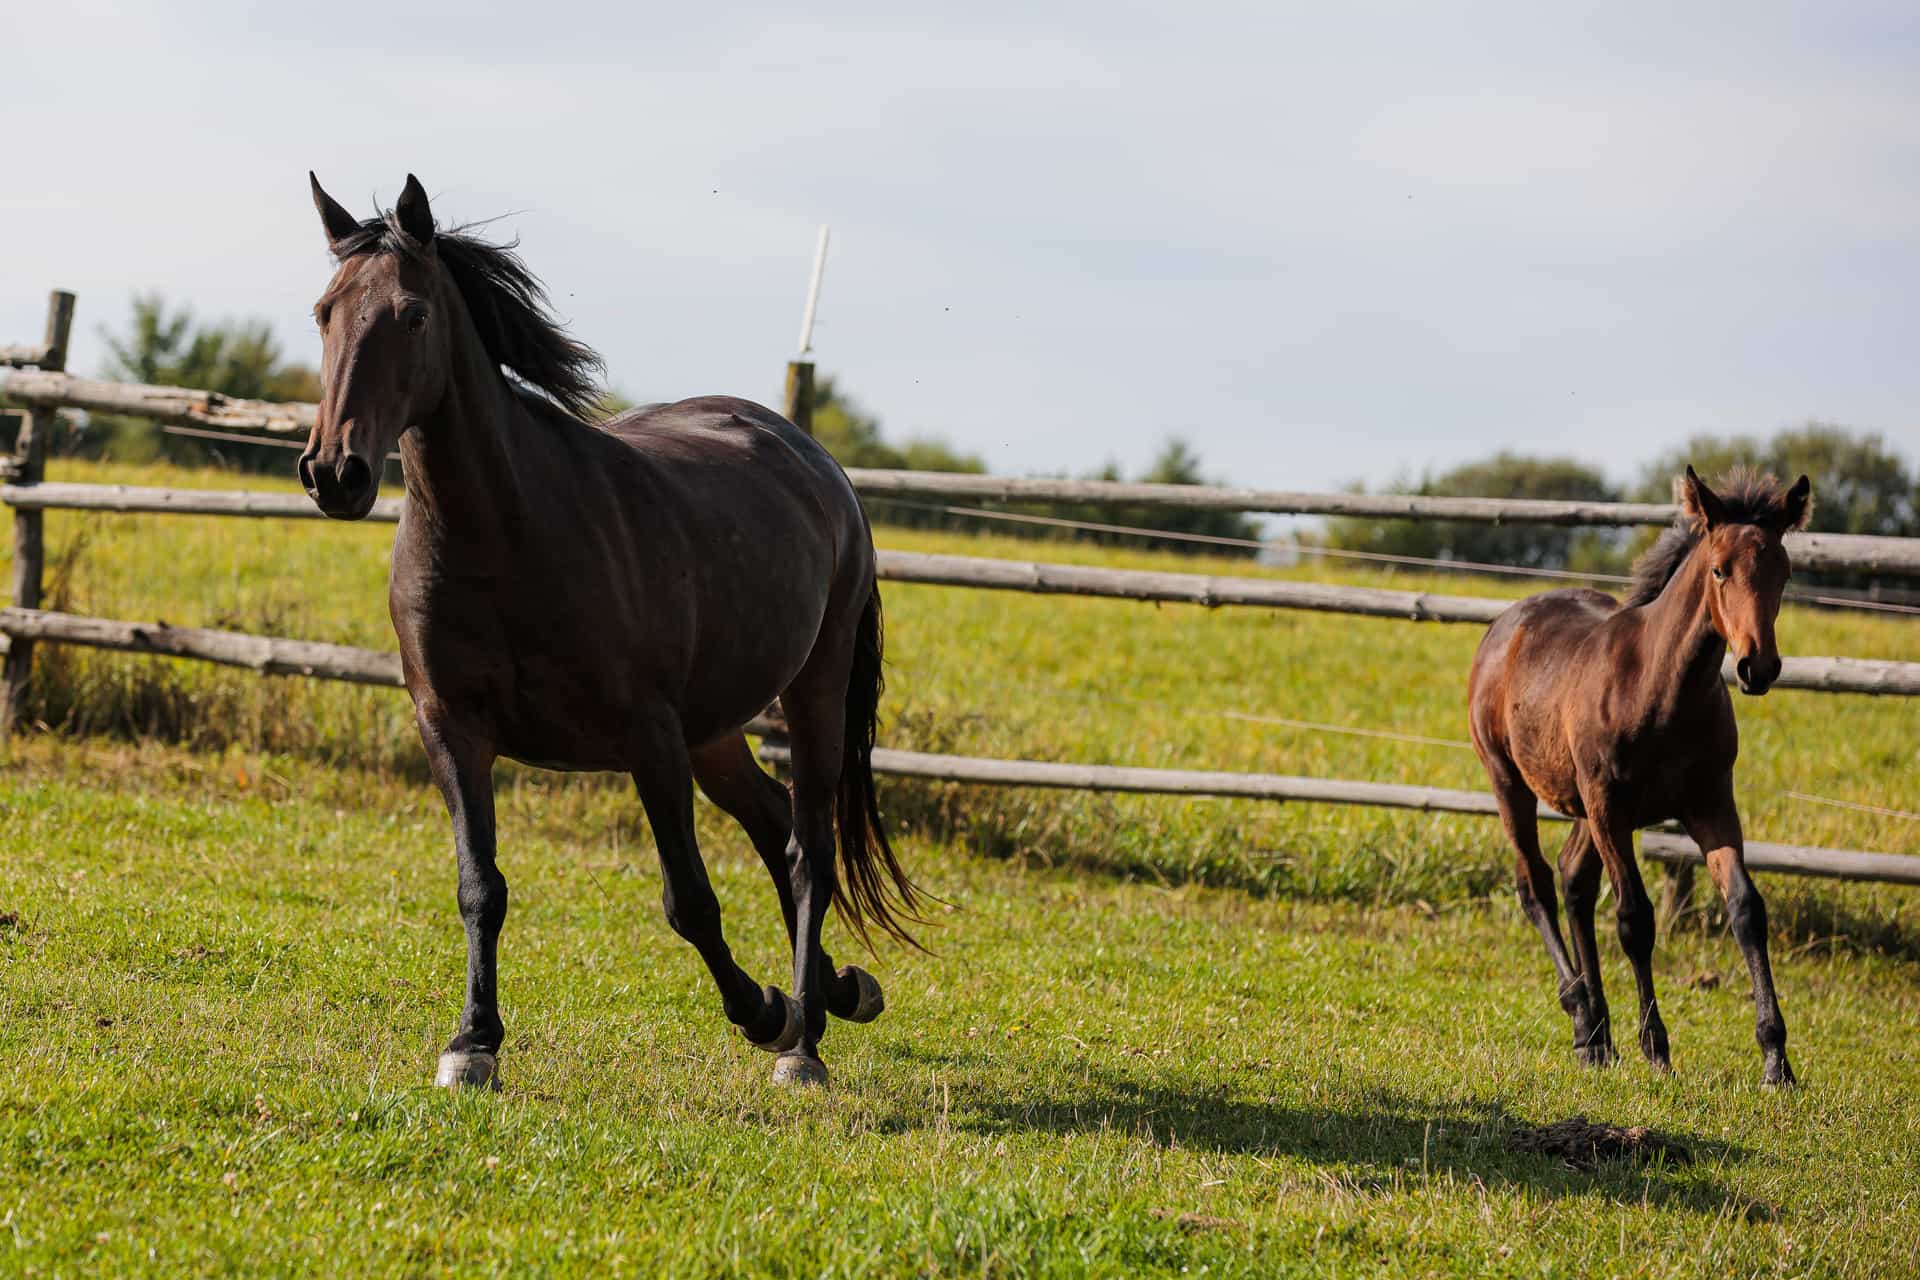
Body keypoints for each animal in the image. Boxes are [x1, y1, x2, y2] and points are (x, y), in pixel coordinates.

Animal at [298, 173, 922, 1089]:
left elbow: (689, 902)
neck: (506, 534)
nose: (332, 472)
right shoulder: (450, 727)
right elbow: (480, 887)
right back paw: (837, 994)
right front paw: (472, 1044)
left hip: (813, 691)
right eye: (324, 312)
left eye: (412, 314)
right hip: (714, 730)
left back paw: (802, 1043)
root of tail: (817, 461)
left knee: (808, 844)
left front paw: (763, 1010)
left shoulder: (647, 736)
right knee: (774, 823)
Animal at [1468, 466, 1811, 1086]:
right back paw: (1582, 1016)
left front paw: (1776, 1059)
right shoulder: (1611, 807)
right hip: (1512, 783)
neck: (1659, 689)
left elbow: (1746, 909)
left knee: (1573, 879)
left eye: (1784, 571)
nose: (1758, 667)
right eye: (1720, 569)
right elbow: (1635, 919)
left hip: (1584, 805)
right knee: (1537, 885)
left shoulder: (1710, 804)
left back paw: (1597, 1037)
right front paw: (1656, 1046)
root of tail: (1505, 623)